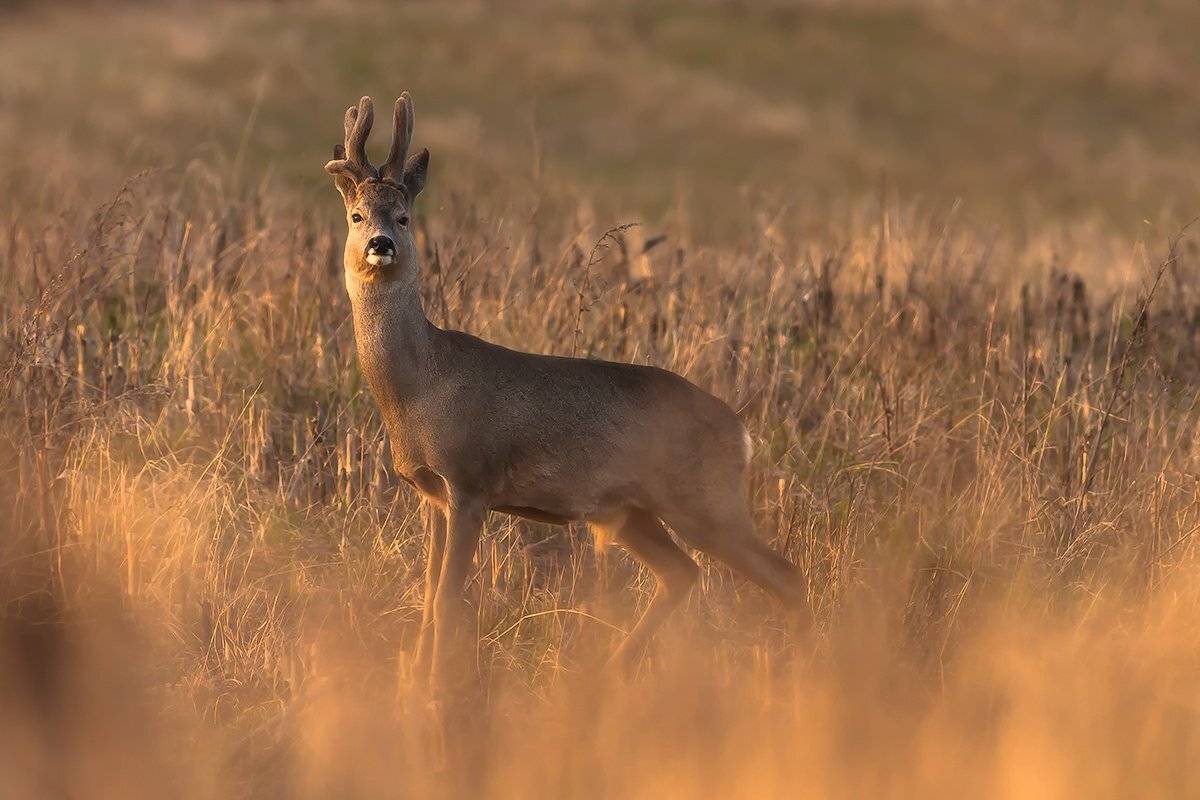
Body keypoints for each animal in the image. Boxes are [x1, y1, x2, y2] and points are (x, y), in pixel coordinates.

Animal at [324, 93, 807, 691]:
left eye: (405, 216)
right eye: (356, 215)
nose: (381, 244)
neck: (417, 390)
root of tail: (741, 431)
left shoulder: (471, 480)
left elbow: (447, 600)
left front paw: (438, 690)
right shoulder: (431, 493)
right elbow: (428, 597)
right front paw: (413, 684)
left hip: (706, 499)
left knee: (785, 576)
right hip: (632, 511)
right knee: (683, 573)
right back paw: (609, 673)